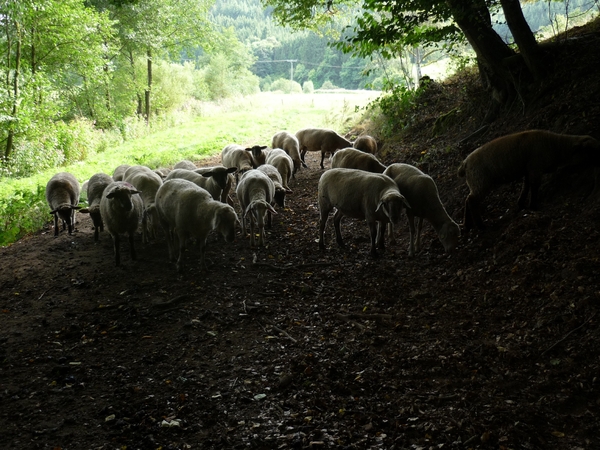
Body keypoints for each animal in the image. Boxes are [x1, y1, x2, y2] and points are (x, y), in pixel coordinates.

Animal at [460, 128, 600, 230]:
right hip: (480, 181)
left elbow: (526, 185)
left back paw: (467, 225)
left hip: (476, 183)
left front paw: (521, 203)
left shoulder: (528, 169)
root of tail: (465, 163)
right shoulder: (535, 167)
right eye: (591, 150)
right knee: (471, 201)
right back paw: (480, 226)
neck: (556, 146)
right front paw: (533, 206)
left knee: (467, 200)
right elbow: (534, 186)